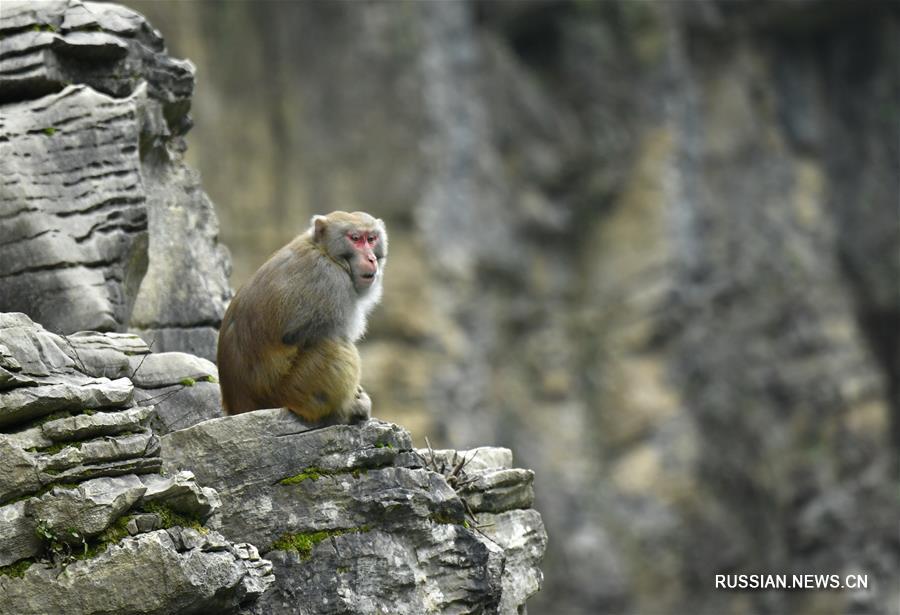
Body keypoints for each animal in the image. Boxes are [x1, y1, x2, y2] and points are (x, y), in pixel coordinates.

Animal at [217, 211, 386, 424]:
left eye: (371, 239)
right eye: (355, 239)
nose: (371, 258)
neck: (325, 252)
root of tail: (238, 406)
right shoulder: (331, 283)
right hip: (288, 393)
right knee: (334, 346)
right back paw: (346, 410)